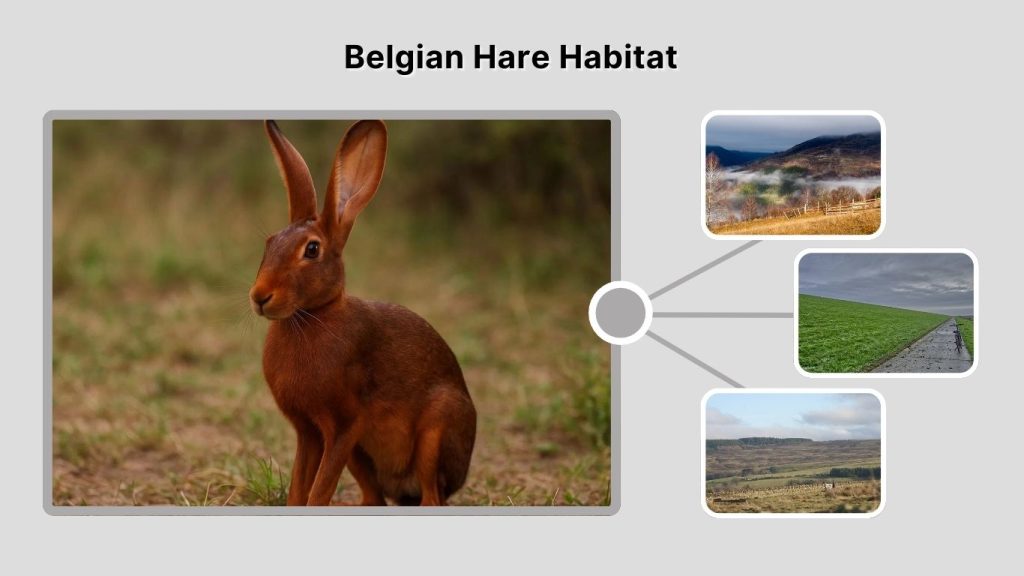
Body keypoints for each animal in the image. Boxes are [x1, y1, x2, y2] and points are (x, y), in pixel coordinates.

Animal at [249, 120, 477, 506]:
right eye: (270, 242)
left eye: (312, 250)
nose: (259, 296)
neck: (313, 314)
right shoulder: (309, 431)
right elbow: (300, 486)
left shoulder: (344, 425)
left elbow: (320, 489)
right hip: (362, 457)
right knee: (374, 497)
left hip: (435, 432)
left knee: (432, 496)